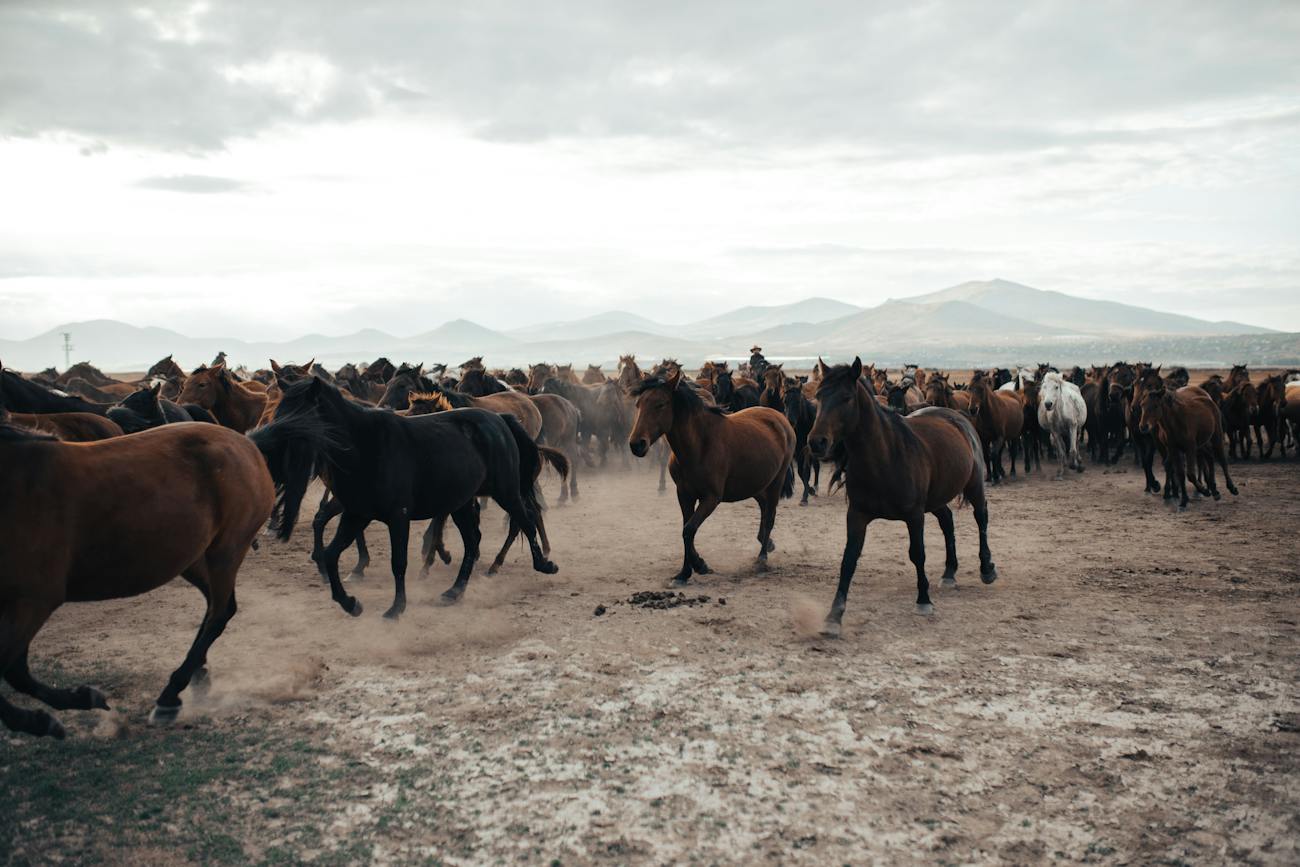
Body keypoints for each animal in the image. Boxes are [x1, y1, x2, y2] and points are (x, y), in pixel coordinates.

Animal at [0, 415, 274, 738]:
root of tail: (247, 444)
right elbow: (16, 672)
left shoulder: (32, 601)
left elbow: (12, 670)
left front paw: (52, 716)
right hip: (192, 558)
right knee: (215, 608)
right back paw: (197, 677)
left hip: (226, 551)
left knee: (220, 613)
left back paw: (170, 695)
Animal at [250, 379, 556, 616]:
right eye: (279, 412)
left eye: (299, 415)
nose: (262, 441)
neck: (364, 446)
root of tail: (500, 419)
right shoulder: (357, 513)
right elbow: (331, 552)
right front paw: (350, 603)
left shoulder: (399, 516)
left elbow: (398, 562)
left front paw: (395, 608)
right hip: (461, 502)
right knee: (473, 541)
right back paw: (454, 591)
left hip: (506, 491)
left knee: (525, 520)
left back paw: (543, 564)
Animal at [626, 369, 795, 587]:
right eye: (638, 404)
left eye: (660, 404)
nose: (636, 444)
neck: (699, 445)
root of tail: (780, 419)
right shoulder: (684, 495)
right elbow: (686, 530)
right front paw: (684, 573)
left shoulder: (711, 498)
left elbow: (689, 529)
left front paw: (699, 565)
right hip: (755, 485)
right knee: (764, 509)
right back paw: (767, 544)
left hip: (775, 482)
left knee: (770, 517)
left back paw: (762, 557)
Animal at [800, 358, 993, 636]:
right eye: (819, 396)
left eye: (846, 398)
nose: (817, 442)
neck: (884, 457)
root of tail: (958, 417)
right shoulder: (857, 515)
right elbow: (849, 559)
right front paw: (833, 617)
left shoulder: (914, 516)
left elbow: (918, 553)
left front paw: (923, 600)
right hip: (935, 499)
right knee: (947, 521)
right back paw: (949, 572)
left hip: (974, 485)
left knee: (981, 518)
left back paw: (987, 568)